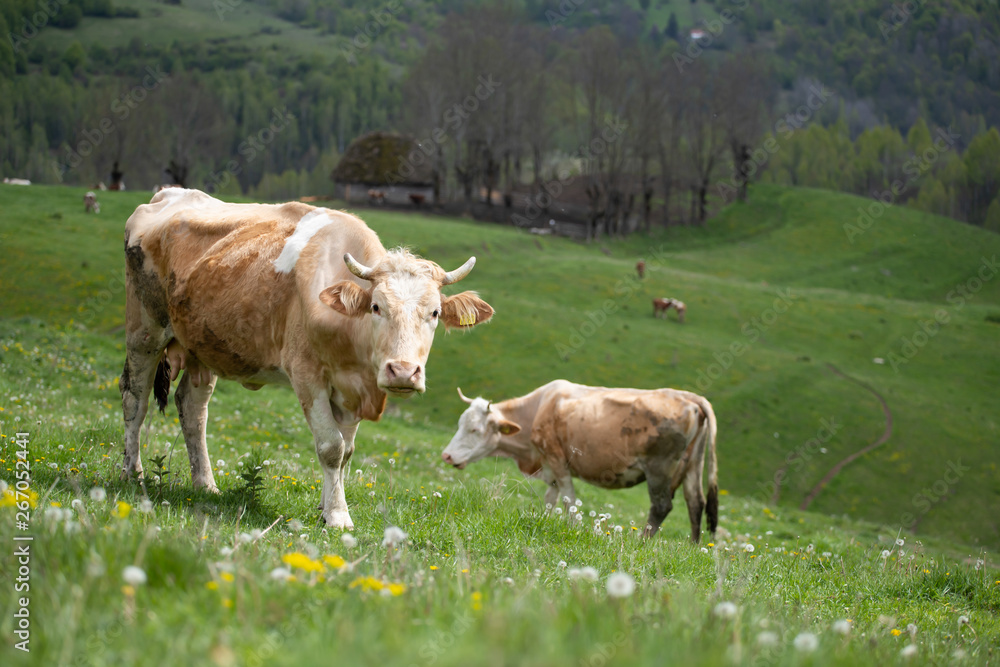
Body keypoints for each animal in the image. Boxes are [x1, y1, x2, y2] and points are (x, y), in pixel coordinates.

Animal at [119, 187, 494, 528]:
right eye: (376, 307)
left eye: (434, 313)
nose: (403, 372)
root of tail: (168, 194)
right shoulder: (307, 375)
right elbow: (331, 447)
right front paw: (339, 516)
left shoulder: (351, 389)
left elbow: (346, 452)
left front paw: (326, 509)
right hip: (144, 330)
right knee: (135, 399)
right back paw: (131, 474)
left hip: (204, 344)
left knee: (193, 408)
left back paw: (206, 485)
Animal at [442, 380, 716, 544]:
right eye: (460, 423)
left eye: (475, 429)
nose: (447, 455)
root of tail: (689, 397)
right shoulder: (550, 468)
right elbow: (550, 500)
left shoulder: (557, 460)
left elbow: (568, 501)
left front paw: (572, 528)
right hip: (693, 465)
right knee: (695, 503)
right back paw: (694, 546)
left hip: (659, 469)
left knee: (661, 507)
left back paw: (642, 543)